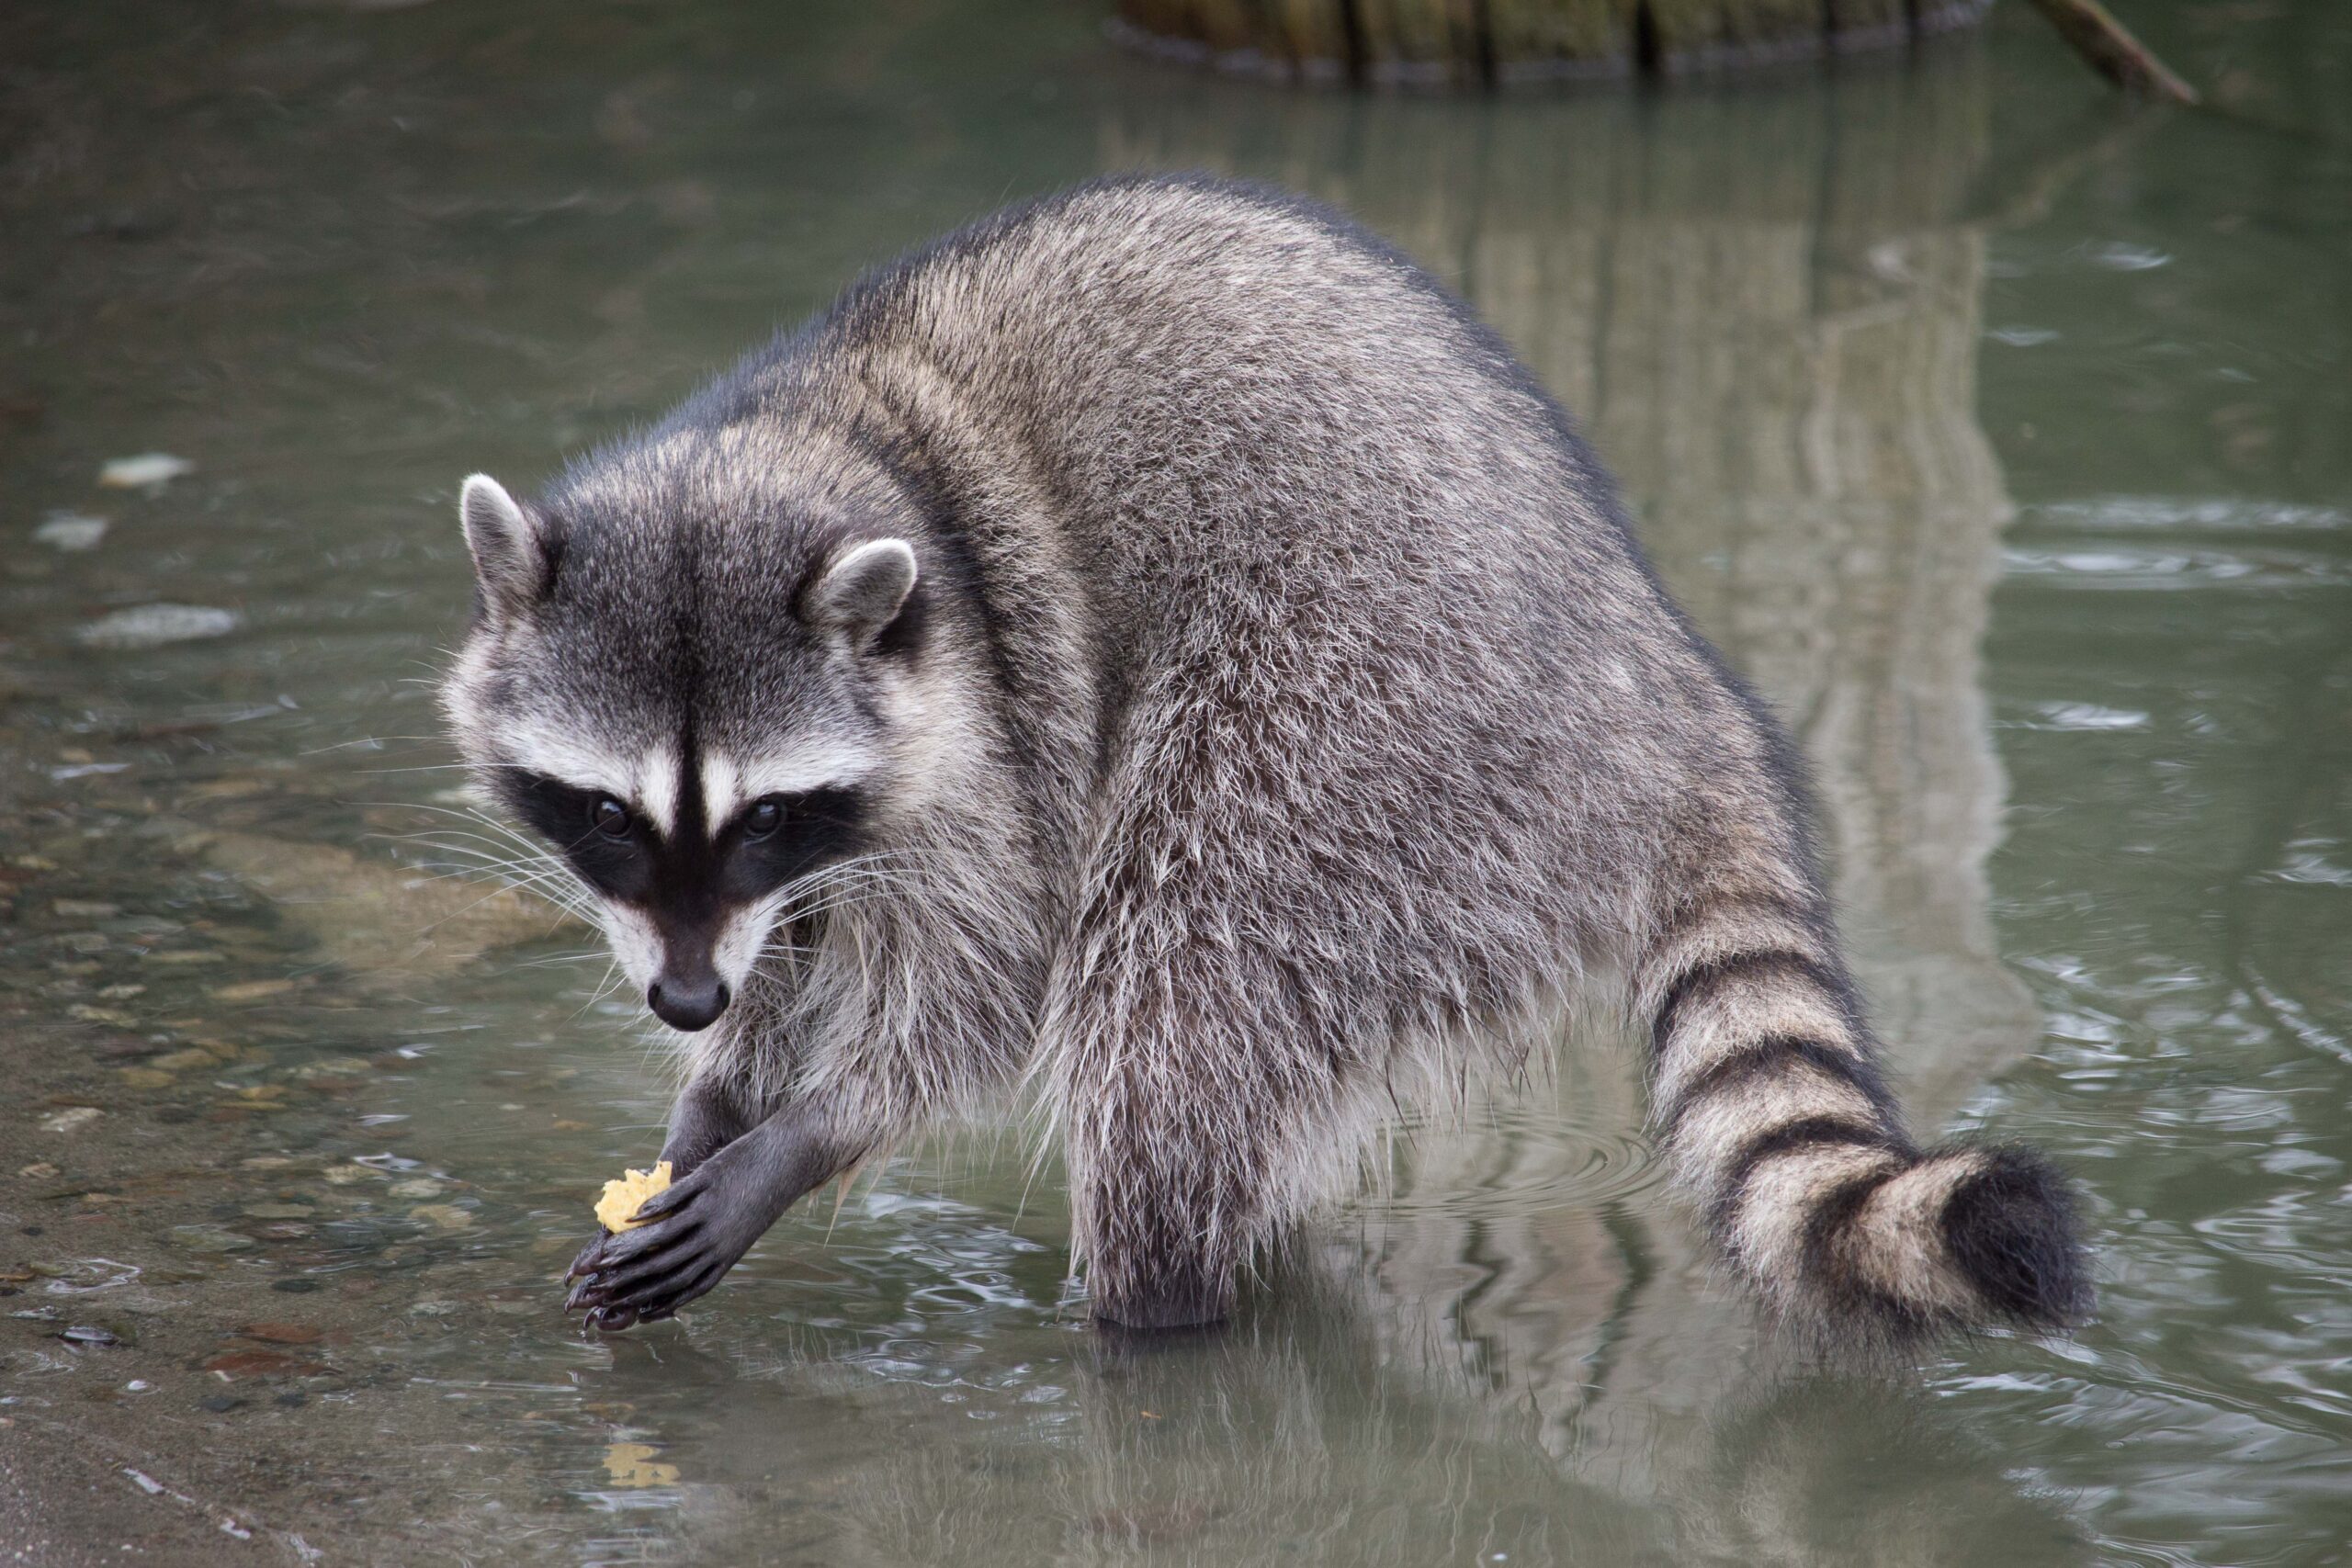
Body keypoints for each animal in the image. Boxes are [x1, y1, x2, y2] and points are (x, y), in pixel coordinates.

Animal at [444, 175, 2098, 1354]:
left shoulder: (994, 729)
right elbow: (795, 955)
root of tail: (1666, 685)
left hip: (1376, 737)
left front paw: (798, 1136)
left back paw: (1150, 1319)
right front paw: (720, 1091)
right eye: (606, 813)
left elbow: (987, 980)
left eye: (764, 810)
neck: (818, 438)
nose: (680, 1002)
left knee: (1171, 993)